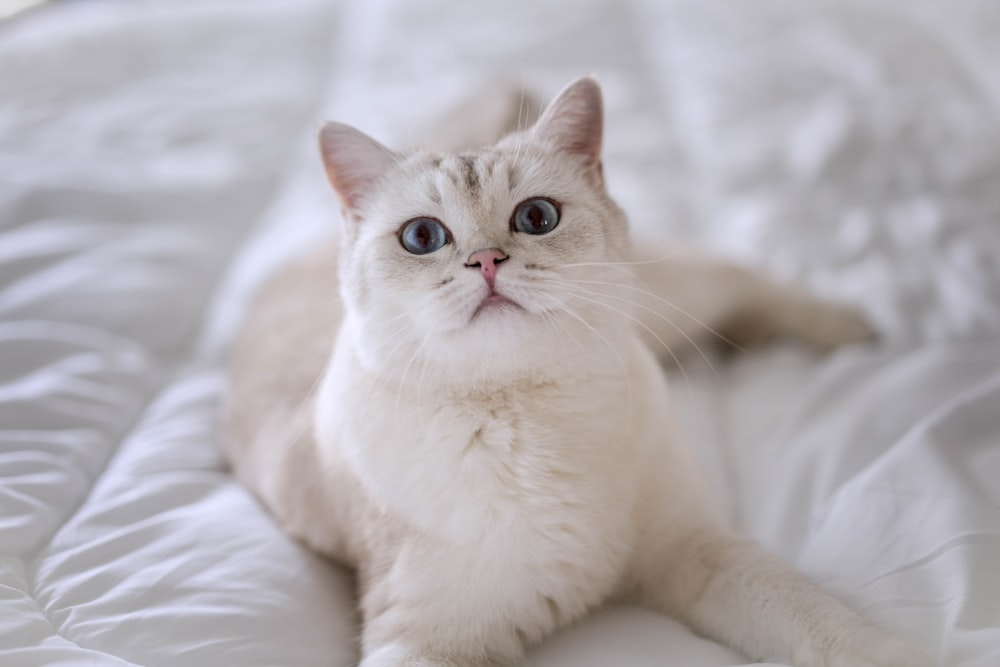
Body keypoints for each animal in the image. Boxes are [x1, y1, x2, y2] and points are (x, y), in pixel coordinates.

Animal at [227, 75, 936, 664]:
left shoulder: (697, 549)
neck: (529, 415)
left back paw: (847, 328)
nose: (486, 261)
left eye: (536, 218)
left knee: (743, 279)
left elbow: (818, 618)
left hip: (673, 303)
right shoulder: (420, 640)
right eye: (422, 238)